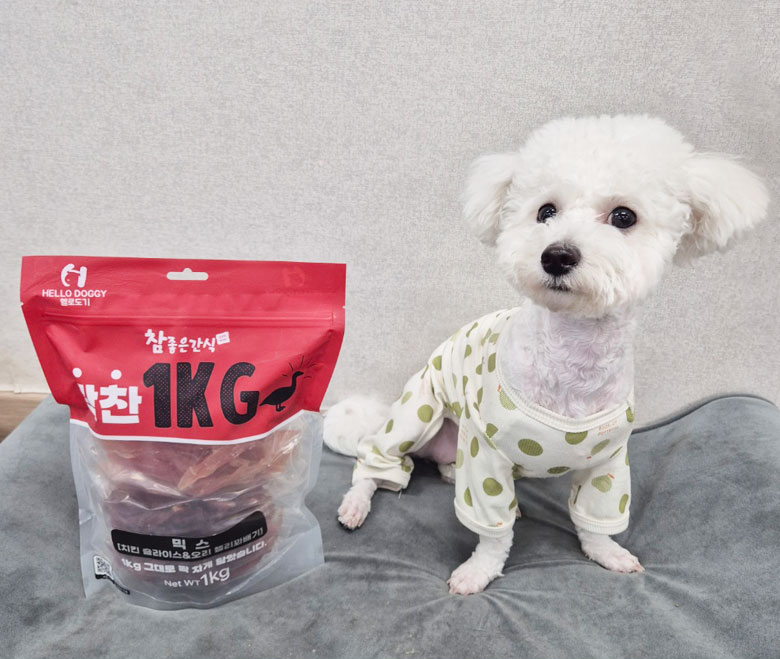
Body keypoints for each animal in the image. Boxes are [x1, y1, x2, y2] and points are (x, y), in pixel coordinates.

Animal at [323, 115, 768, 595]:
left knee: (441, 467)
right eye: (546, 211)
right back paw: (356, 505)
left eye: (624, 216)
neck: (573, 363)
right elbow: (491, 534)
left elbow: (596, 522)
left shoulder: (609, 463)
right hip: (417, 414)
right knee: (375, 463)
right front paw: (478, 571)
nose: (556, 255)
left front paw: (608, 553)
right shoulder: (484, 455)